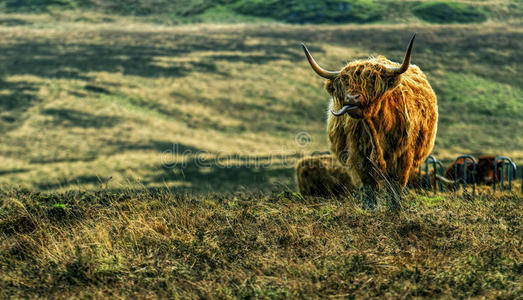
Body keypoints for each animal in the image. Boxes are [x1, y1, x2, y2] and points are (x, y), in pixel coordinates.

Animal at [302, 34, 438, 205]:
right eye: (345, 82)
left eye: (372, 80)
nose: (351, 98)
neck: (375, 128)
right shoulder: (359, 154)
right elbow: (369, 184)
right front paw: (370, 204)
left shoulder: (404, 155)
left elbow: (397, 184)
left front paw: (396, 205)